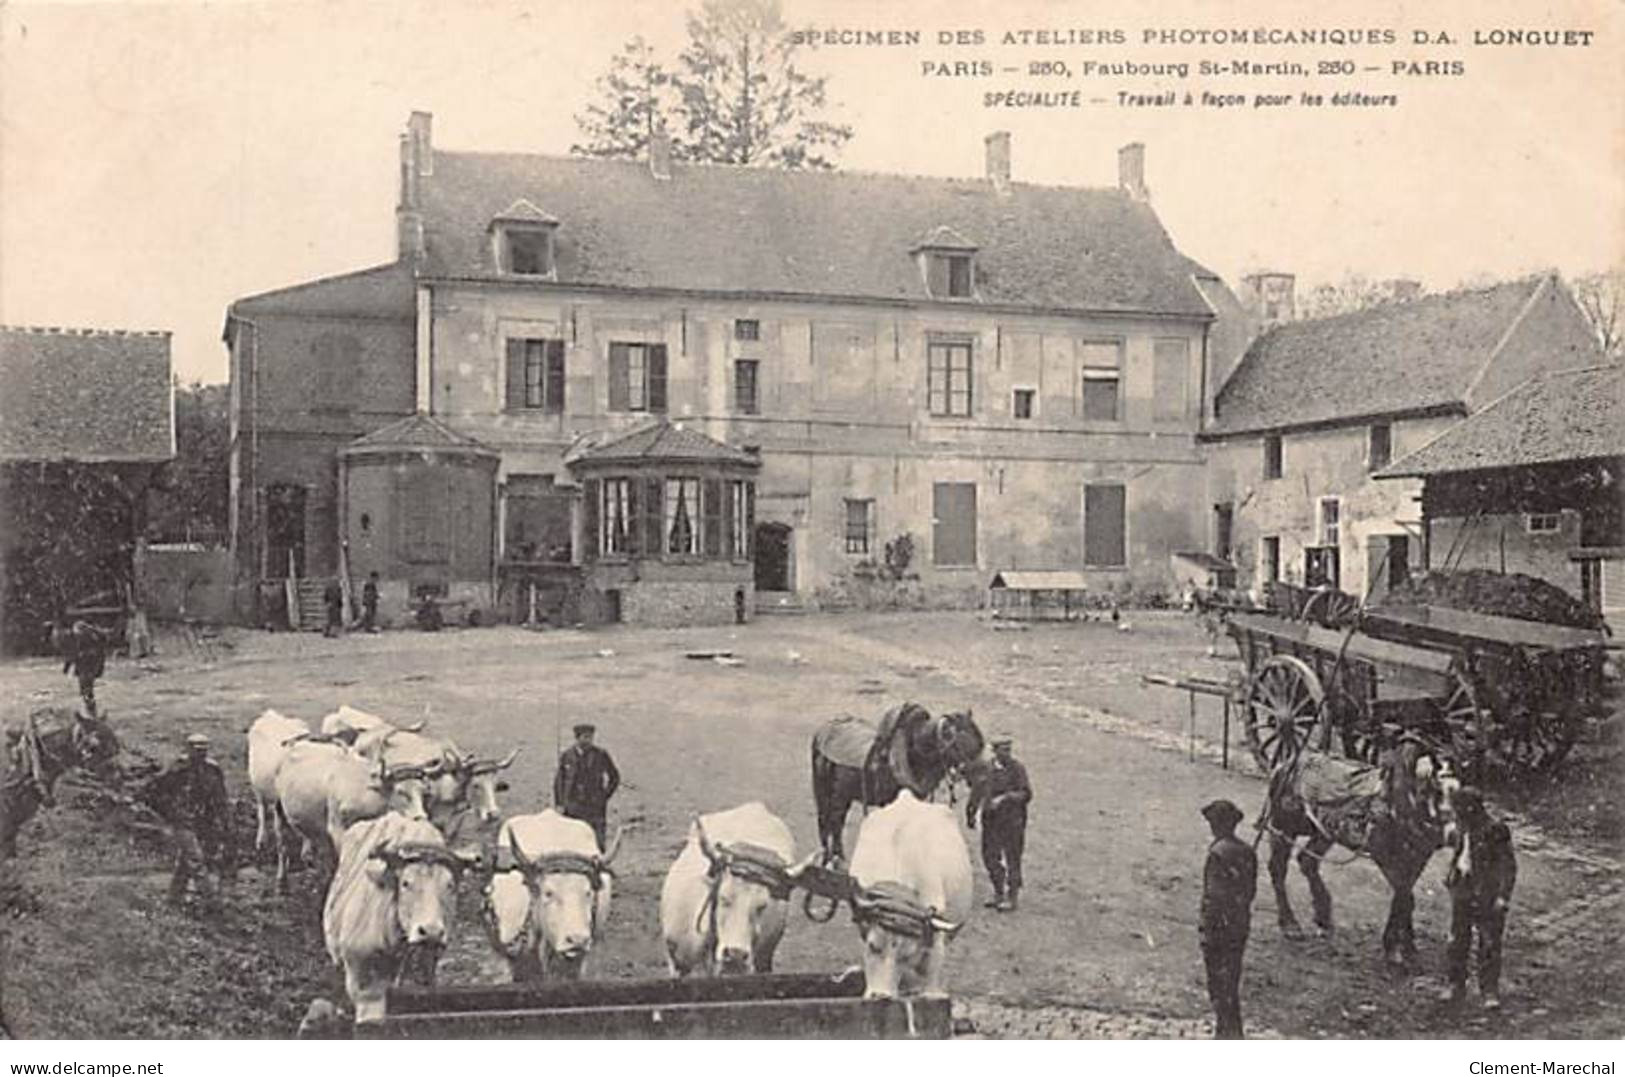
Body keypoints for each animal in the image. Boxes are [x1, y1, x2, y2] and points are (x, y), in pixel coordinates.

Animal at [809, 698, 981, 870]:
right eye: (960, 742)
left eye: (977, 741)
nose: (978, 775)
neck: (913, 752)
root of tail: (821, 732)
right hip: (829, 793)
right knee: (829, 821)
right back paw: (829, 858)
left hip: (844, 795)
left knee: (837, 822)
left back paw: (838, 857)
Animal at [1254, 734, 1462, 968]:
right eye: (1440, 791)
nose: (1456, 833)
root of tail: (1284, 764)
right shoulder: (1384, 854)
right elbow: (1405, 897)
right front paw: (1394, 949)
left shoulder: (1419, 856)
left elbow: (1405, 896)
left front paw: (1408, 947)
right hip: (1283, 824)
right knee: (1278, 868)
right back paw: (1290, 925)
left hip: (1325, 830)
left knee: (1307, 860)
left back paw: (1324, 918)